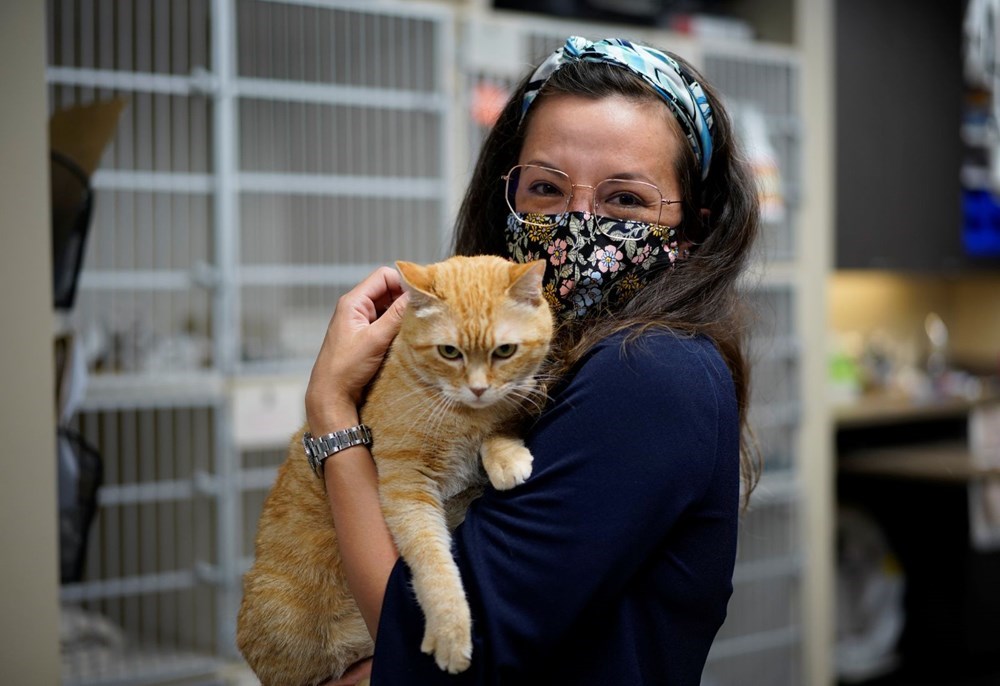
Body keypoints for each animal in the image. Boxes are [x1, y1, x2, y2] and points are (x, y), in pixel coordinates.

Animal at [239, 256, 560, 686]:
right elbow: (433, 562)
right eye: (449, 351)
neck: (462, 416)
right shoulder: (406, 484)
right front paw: (451, 630)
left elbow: (500, 424)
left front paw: (504, 456)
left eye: (505, 351)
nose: (477, 389)